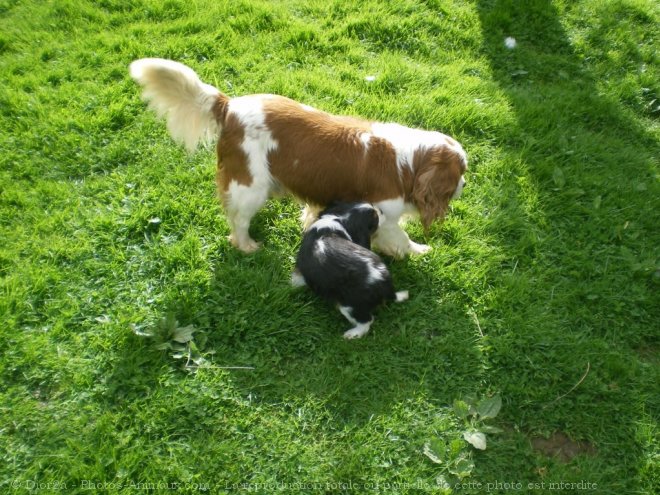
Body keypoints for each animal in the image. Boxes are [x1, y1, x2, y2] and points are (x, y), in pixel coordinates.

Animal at [129, 60, 466, 258]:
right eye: (460, 172)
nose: (465, 183)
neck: (409, 162)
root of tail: (228, 106)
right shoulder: (383, 215)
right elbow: (401, 238)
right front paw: (420, 249)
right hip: (250, 186)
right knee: (238, 220)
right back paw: (247, 245)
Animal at [292, 203, 408, 340]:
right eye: (375, 218)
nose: (381, 210)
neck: (342, 220)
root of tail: (384, 281)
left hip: (349, 306)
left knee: (367, 321)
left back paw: (352, 334)